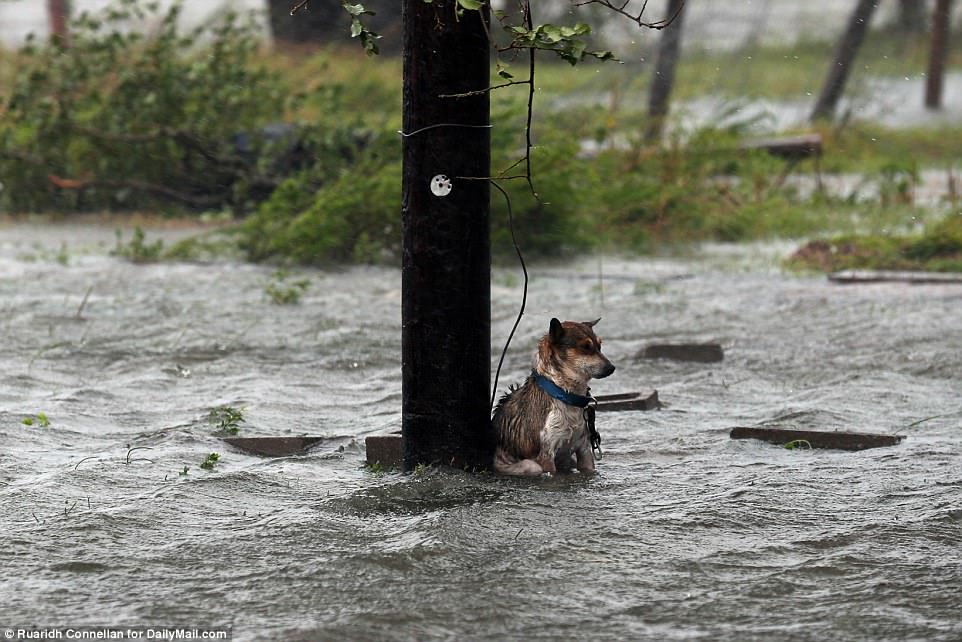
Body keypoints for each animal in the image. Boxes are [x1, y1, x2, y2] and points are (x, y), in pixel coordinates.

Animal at [492, 318, 620, 472]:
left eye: (599, 346)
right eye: (585, 347)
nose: (611, 368)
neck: (563, 394)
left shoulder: (584, 449)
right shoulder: (546, 456)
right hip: (530, 466)